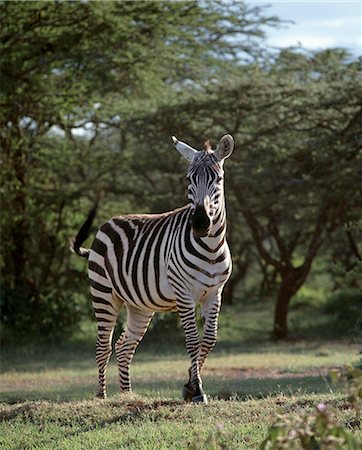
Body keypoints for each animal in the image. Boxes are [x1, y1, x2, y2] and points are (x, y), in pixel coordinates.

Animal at [70, 134, 235, 404]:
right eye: (189, 180)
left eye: (218, 180)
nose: (200, 224)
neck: (210, 247)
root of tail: (108, 222)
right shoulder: (184, 294)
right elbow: (193, 340)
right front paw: (197, 391)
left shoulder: (215, 292)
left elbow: (209, 340)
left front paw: (189, 387)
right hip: (103, 295)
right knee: (103, 346)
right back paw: (101, 396)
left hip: (139, 305)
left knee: (124, 346)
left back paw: (127, 396)